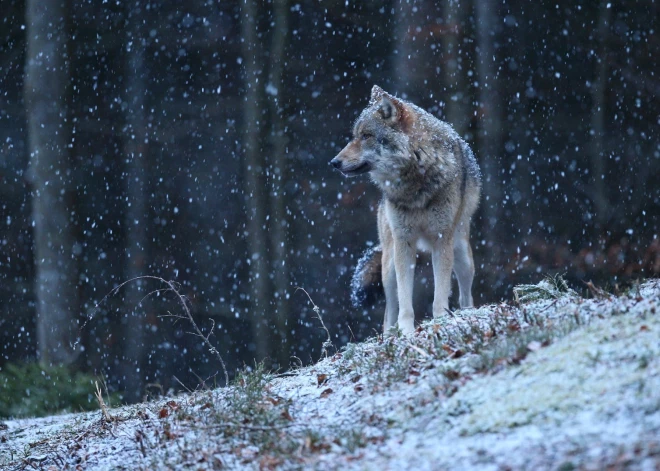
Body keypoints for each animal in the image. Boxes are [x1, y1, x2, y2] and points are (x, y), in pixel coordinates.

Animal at [330, 85, 480, 336]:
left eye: (366, 136)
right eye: (354, 136)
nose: (333, 162)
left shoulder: (441, 241)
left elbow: (440, 294)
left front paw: (440, 321)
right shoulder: (404, 242)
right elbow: (405, 300)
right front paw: (407, 331)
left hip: (462, 256)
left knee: (465, 295)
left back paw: (467, 314)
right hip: (389, 264)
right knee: (388, 310)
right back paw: (390, 334)